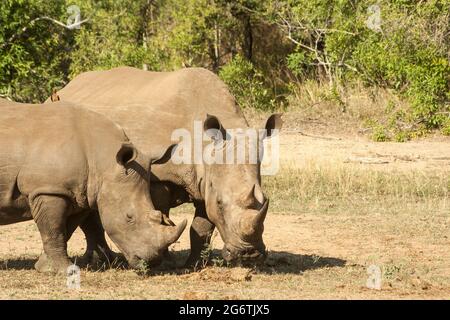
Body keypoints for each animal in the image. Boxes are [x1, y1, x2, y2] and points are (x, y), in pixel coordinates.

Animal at [0, 100, 186, 272]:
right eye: (129, 217)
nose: (151, 262)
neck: (104, 160)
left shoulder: (77, 193)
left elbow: (66, 229)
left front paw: (44, 267)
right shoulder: (49, 189)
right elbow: (54, 229)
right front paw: (65, 270)